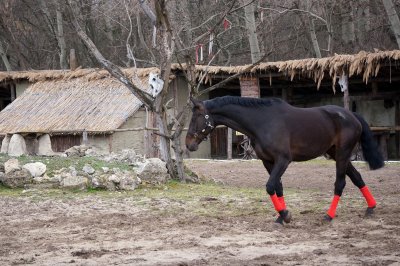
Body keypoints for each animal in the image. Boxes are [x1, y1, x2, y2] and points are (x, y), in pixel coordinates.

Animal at [187, 96, 384, 223]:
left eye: (196, 117)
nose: (188, 143)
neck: (263, 122)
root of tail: (352, 115)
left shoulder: (283, 160)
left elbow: (270, 186)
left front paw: (285, 214)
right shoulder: (268, 161)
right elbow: (278, 187)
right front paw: (282, 216)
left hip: (342, 154)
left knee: (340, 183)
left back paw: (328, 216)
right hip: (337, 154)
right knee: (357, 177)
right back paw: (370, 208)